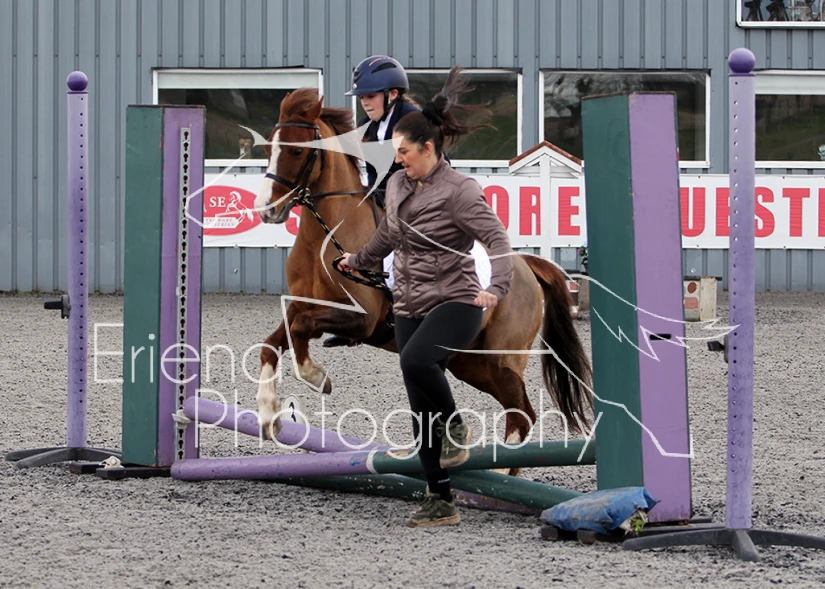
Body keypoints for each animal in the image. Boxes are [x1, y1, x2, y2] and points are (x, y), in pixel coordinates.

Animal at [253, 88, 594, 472]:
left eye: (297, 151)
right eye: (268, 149)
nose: (266, 210)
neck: (323, 238)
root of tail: (524, 263)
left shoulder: (362, 320)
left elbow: (301, 329)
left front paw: (314, 376)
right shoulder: (302, 304)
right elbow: (274, 340)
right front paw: (269, 415)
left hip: (499, 359)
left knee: (520, 413)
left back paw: (501, 470)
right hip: (469, 363)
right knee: (521, 411)